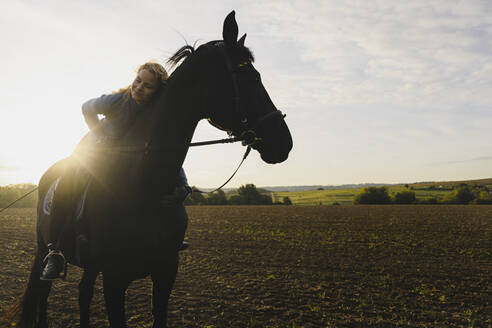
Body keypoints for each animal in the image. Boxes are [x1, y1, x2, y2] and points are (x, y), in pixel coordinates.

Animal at [5, 10, 292, 328]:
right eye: (249, 75)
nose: (284, 141)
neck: (143, 182)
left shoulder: (165, 272)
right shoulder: (115, 279)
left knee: (83, 292)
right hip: (45, 249)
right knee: (42, 295)